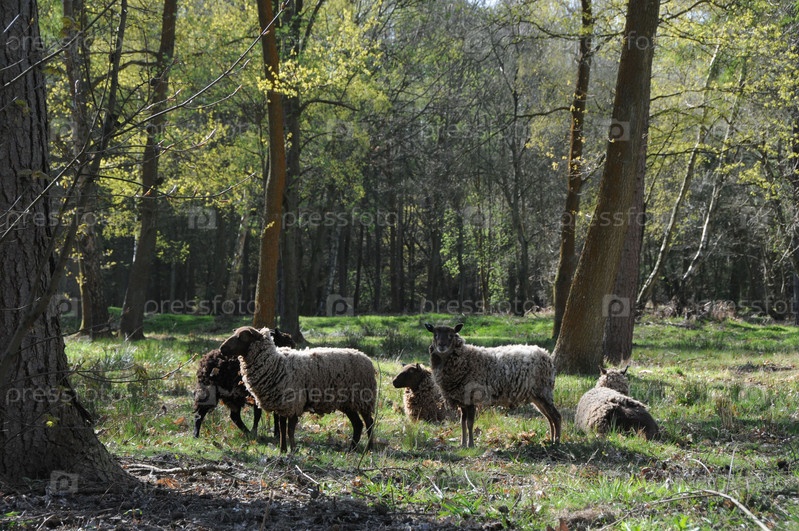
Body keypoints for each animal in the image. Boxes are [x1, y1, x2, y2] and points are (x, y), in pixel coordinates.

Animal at [219, 326, 376, 453]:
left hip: (363, 398)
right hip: (348, 402)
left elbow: (290, 430)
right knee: (358, 424)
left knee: (369, 422)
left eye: (242, 337)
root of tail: (366, 357)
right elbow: (282, 428)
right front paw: (282, 450)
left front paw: (293, 450)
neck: (275, 364)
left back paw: (368, 449)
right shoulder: (282, 405)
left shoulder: (294, 403)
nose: (221, 348)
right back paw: (352, 449)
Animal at [425, 322, 561, 447]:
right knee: (549, 417)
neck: (465, 358)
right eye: (435, 334)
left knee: (556, 417)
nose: (441, 346)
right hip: (537, 396)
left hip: (543, 391)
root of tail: (547, 356)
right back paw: (551, 440)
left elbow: (469, 423)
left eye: (451, 335)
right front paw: (463, 444)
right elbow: (462, 422)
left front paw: (471, 445)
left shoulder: (471, 397)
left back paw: (557, 442)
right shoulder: (462, 400)